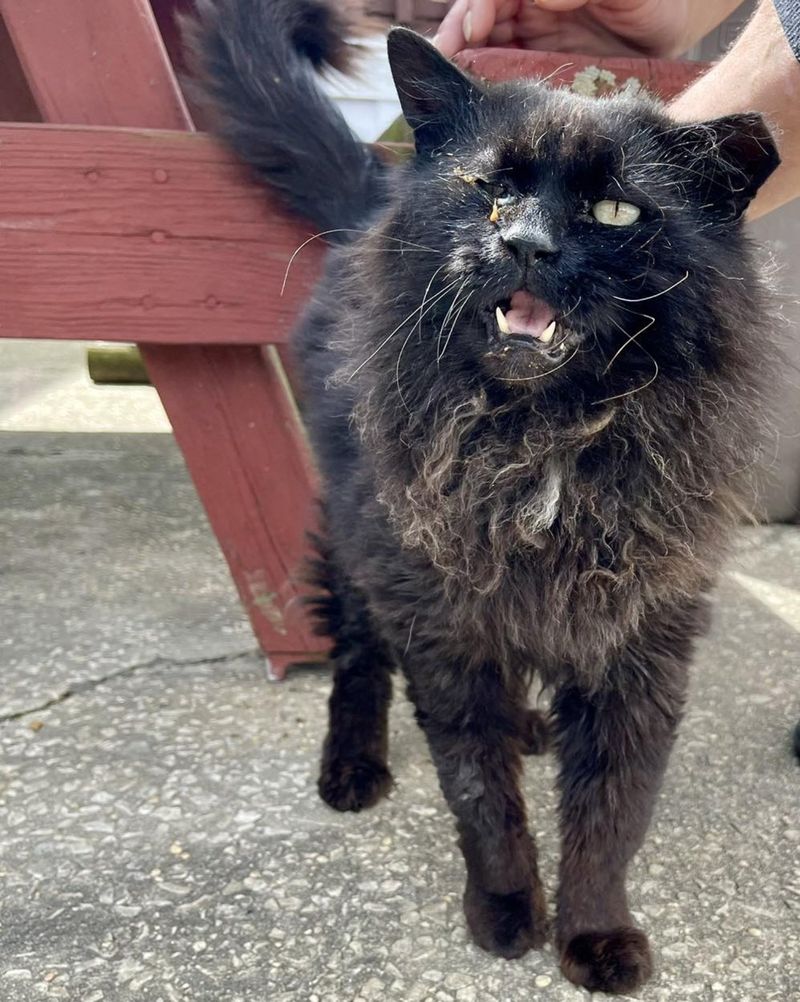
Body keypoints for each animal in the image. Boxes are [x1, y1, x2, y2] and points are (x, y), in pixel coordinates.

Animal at [184, 0, 781, 985]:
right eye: (488, 189)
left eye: (616, 208)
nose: (523, 243)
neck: (542, 444)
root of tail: (370, 203)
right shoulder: (445, 632)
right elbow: (479, 794)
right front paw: (504, 911)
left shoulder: (640, 648)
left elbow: (612, 814)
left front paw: (593, 933)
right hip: (356, 545)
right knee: (356, 661)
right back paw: (352, 767)